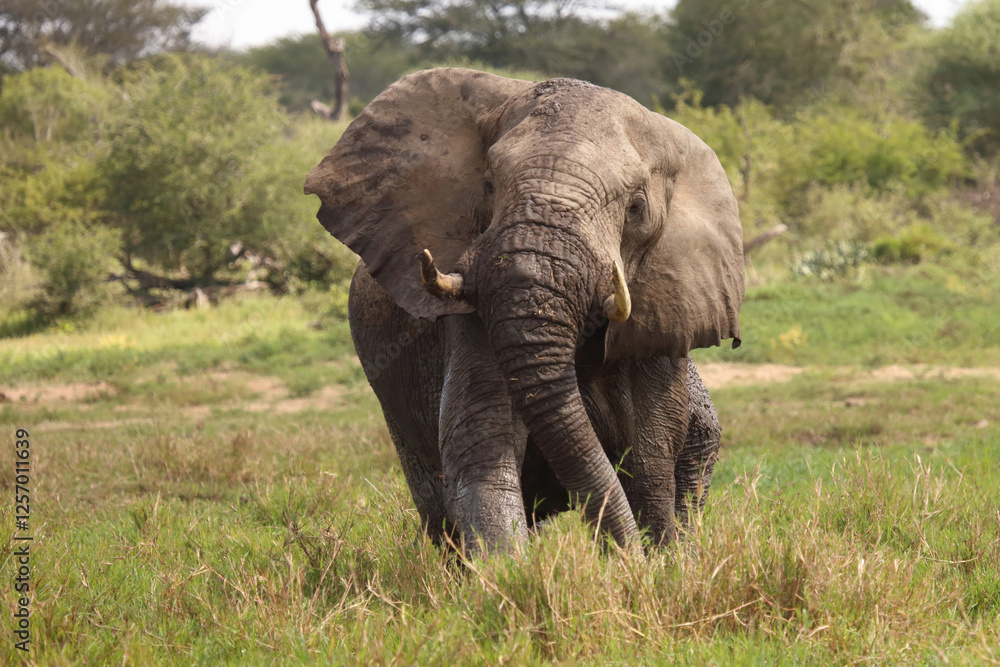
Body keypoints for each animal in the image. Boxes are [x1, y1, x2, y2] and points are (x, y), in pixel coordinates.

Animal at [305, 68, 744, 554]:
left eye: (636, 207)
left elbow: (651, 449)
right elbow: (479, 441)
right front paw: (506, 569)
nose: (628, 555)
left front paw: (660, 560)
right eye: (489, 184)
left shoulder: (665, 304)